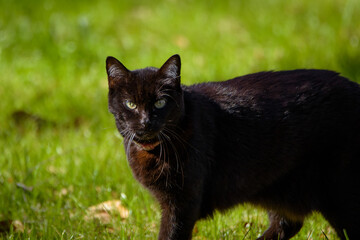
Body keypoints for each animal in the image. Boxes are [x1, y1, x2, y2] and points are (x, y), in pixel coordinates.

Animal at [105, 54, 358, 240]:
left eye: (160, 102)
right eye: (131, 104)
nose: (145, 122)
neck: (155, 152)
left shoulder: (182, 203)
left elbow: (171, 235)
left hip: (340, 192)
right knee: (288, 223)